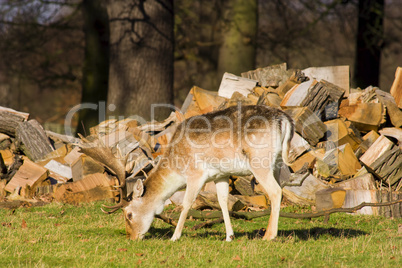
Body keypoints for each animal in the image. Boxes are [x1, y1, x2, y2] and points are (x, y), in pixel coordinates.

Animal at [81, 104, 296, 241]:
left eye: (129, 215)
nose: (131, 238)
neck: (177, 165)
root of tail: (284, 120)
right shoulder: (221, 174)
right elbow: (223, 202)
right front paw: (229, 236)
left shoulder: (195, 173)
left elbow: (186, 204)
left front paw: (175, 237)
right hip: (277, 163)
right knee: (278, 188)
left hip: (259, 161)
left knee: (276, 192)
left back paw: (269, 236)